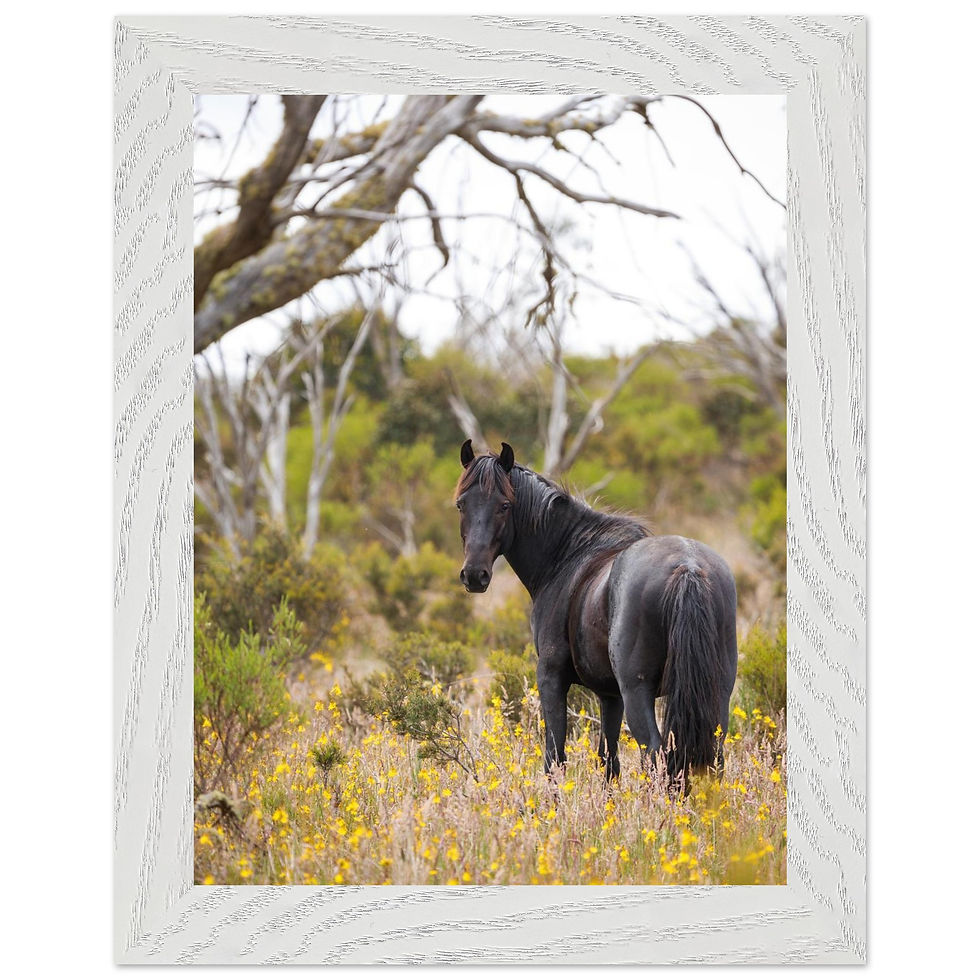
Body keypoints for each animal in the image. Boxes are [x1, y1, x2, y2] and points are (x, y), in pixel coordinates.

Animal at [454, 440, 738, 788]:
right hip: (715, 694)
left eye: (505, 505)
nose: (474, 575)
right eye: (461, 505)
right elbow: (608, 762)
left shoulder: (551, 677)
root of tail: (688, 567)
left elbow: (555, 758)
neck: (568, 555)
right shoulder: (610, 695)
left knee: (656, 755)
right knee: (710, 757)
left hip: (638, 693)